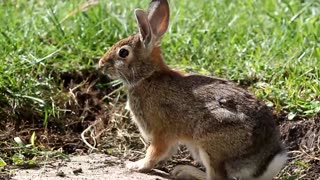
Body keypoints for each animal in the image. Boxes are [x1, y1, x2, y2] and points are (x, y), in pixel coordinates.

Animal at [98, 0, 288, 179]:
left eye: (123, 52)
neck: (148, 76)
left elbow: (155, 152)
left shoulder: (161, 131)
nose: (101, 65)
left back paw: (183, 170)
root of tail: (262, 163)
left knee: (216, 177)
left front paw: (136, 166)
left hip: (209, 143)